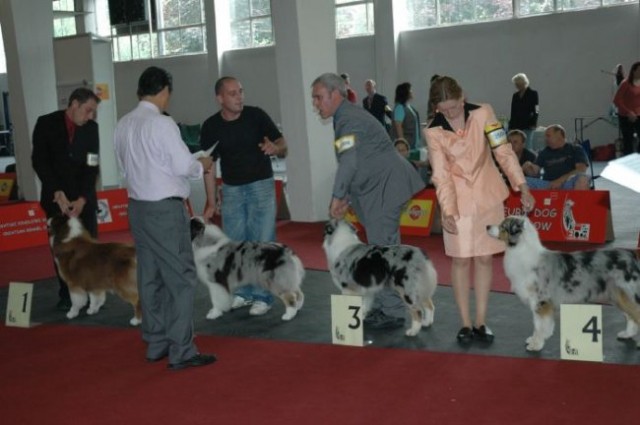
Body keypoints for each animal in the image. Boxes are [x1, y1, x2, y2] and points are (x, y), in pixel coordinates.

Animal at [488, 217, 636, 350]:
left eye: (503, 226)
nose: (487, 226)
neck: (522, 251)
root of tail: (631, 255)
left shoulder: (541, 301)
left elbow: (539, 325)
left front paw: (536, 344)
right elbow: (536, 324)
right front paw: (534, 339)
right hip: (618, 295)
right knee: (630, 316)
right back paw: (627, 334)